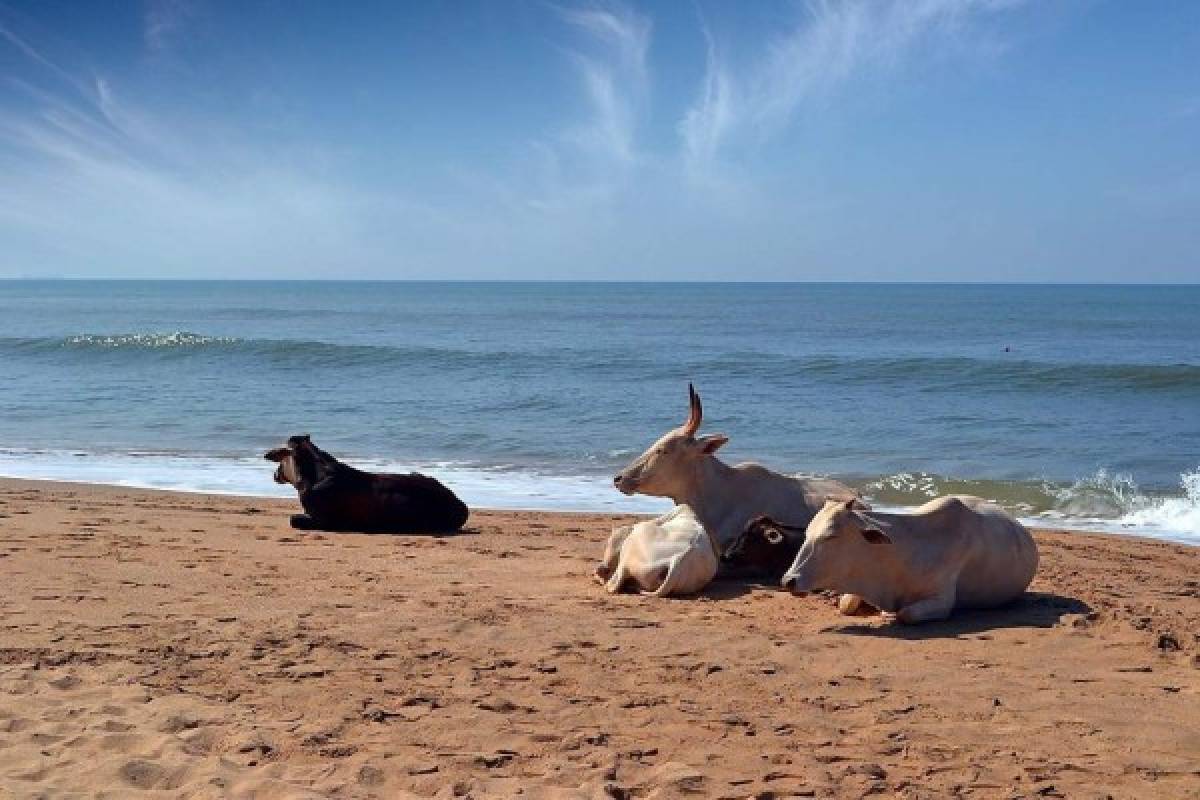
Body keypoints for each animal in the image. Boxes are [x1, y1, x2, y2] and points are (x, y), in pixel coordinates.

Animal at [782, 494, 1036, 623]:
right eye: (807, 532)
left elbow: (906, 614)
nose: (788, 581)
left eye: (831, 536)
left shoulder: (941, 600)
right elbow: (846, 605)